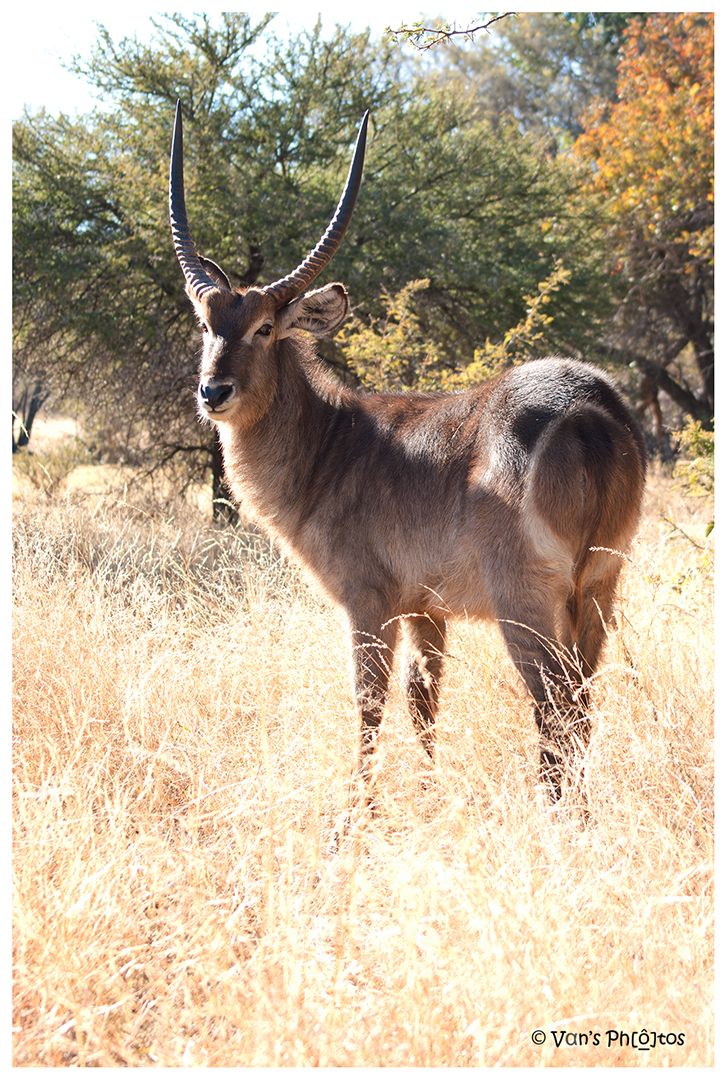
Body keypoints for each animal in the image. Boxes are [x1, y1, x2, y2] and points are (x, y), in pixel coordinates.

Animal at [171, 103, 648, 812]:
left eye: (264, 327)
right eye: (207, 324)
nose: (214, 391)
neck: (332, 444)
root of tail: (589, 406)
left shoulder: (369, 598)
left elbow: (369, 706)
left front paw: (356, 815)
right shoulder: (429, 607)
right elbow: (425, 703)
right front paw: (425, 798)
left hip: (527, 599)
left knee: (555, 705)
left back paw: (554, 815)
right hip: (598, 586)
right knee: (583, 703)